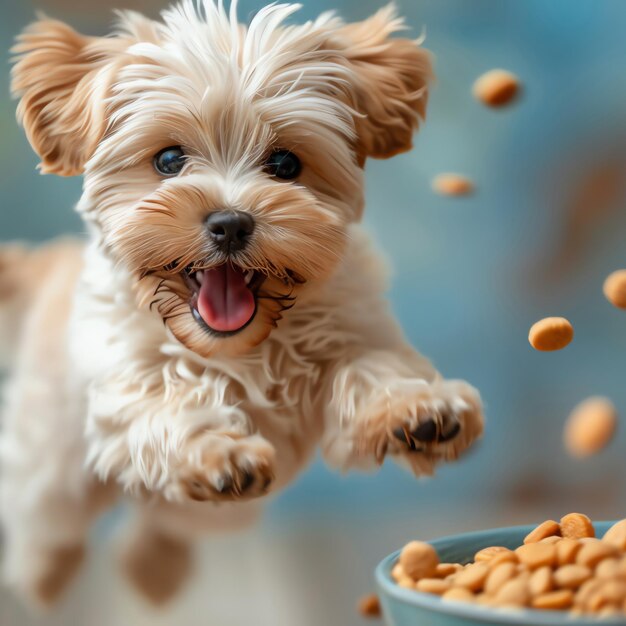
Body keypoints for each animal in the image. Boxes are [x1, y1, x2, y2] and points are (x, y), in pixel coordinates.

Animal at [0, 0, 482, 604]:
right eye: (168, 159)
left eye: (285, 164)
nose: (230, 223)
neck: (244, 347)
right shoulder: (124, 373)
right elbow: (167, 398)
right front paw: (217, 452)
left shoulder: (356, 325)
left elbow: (373, 364)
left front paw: (418, 409)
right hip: (53, 467)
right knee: (49, 518)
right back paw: (43, 574)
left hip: (224, 518)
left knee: (162, 522)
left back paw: (155, 570)